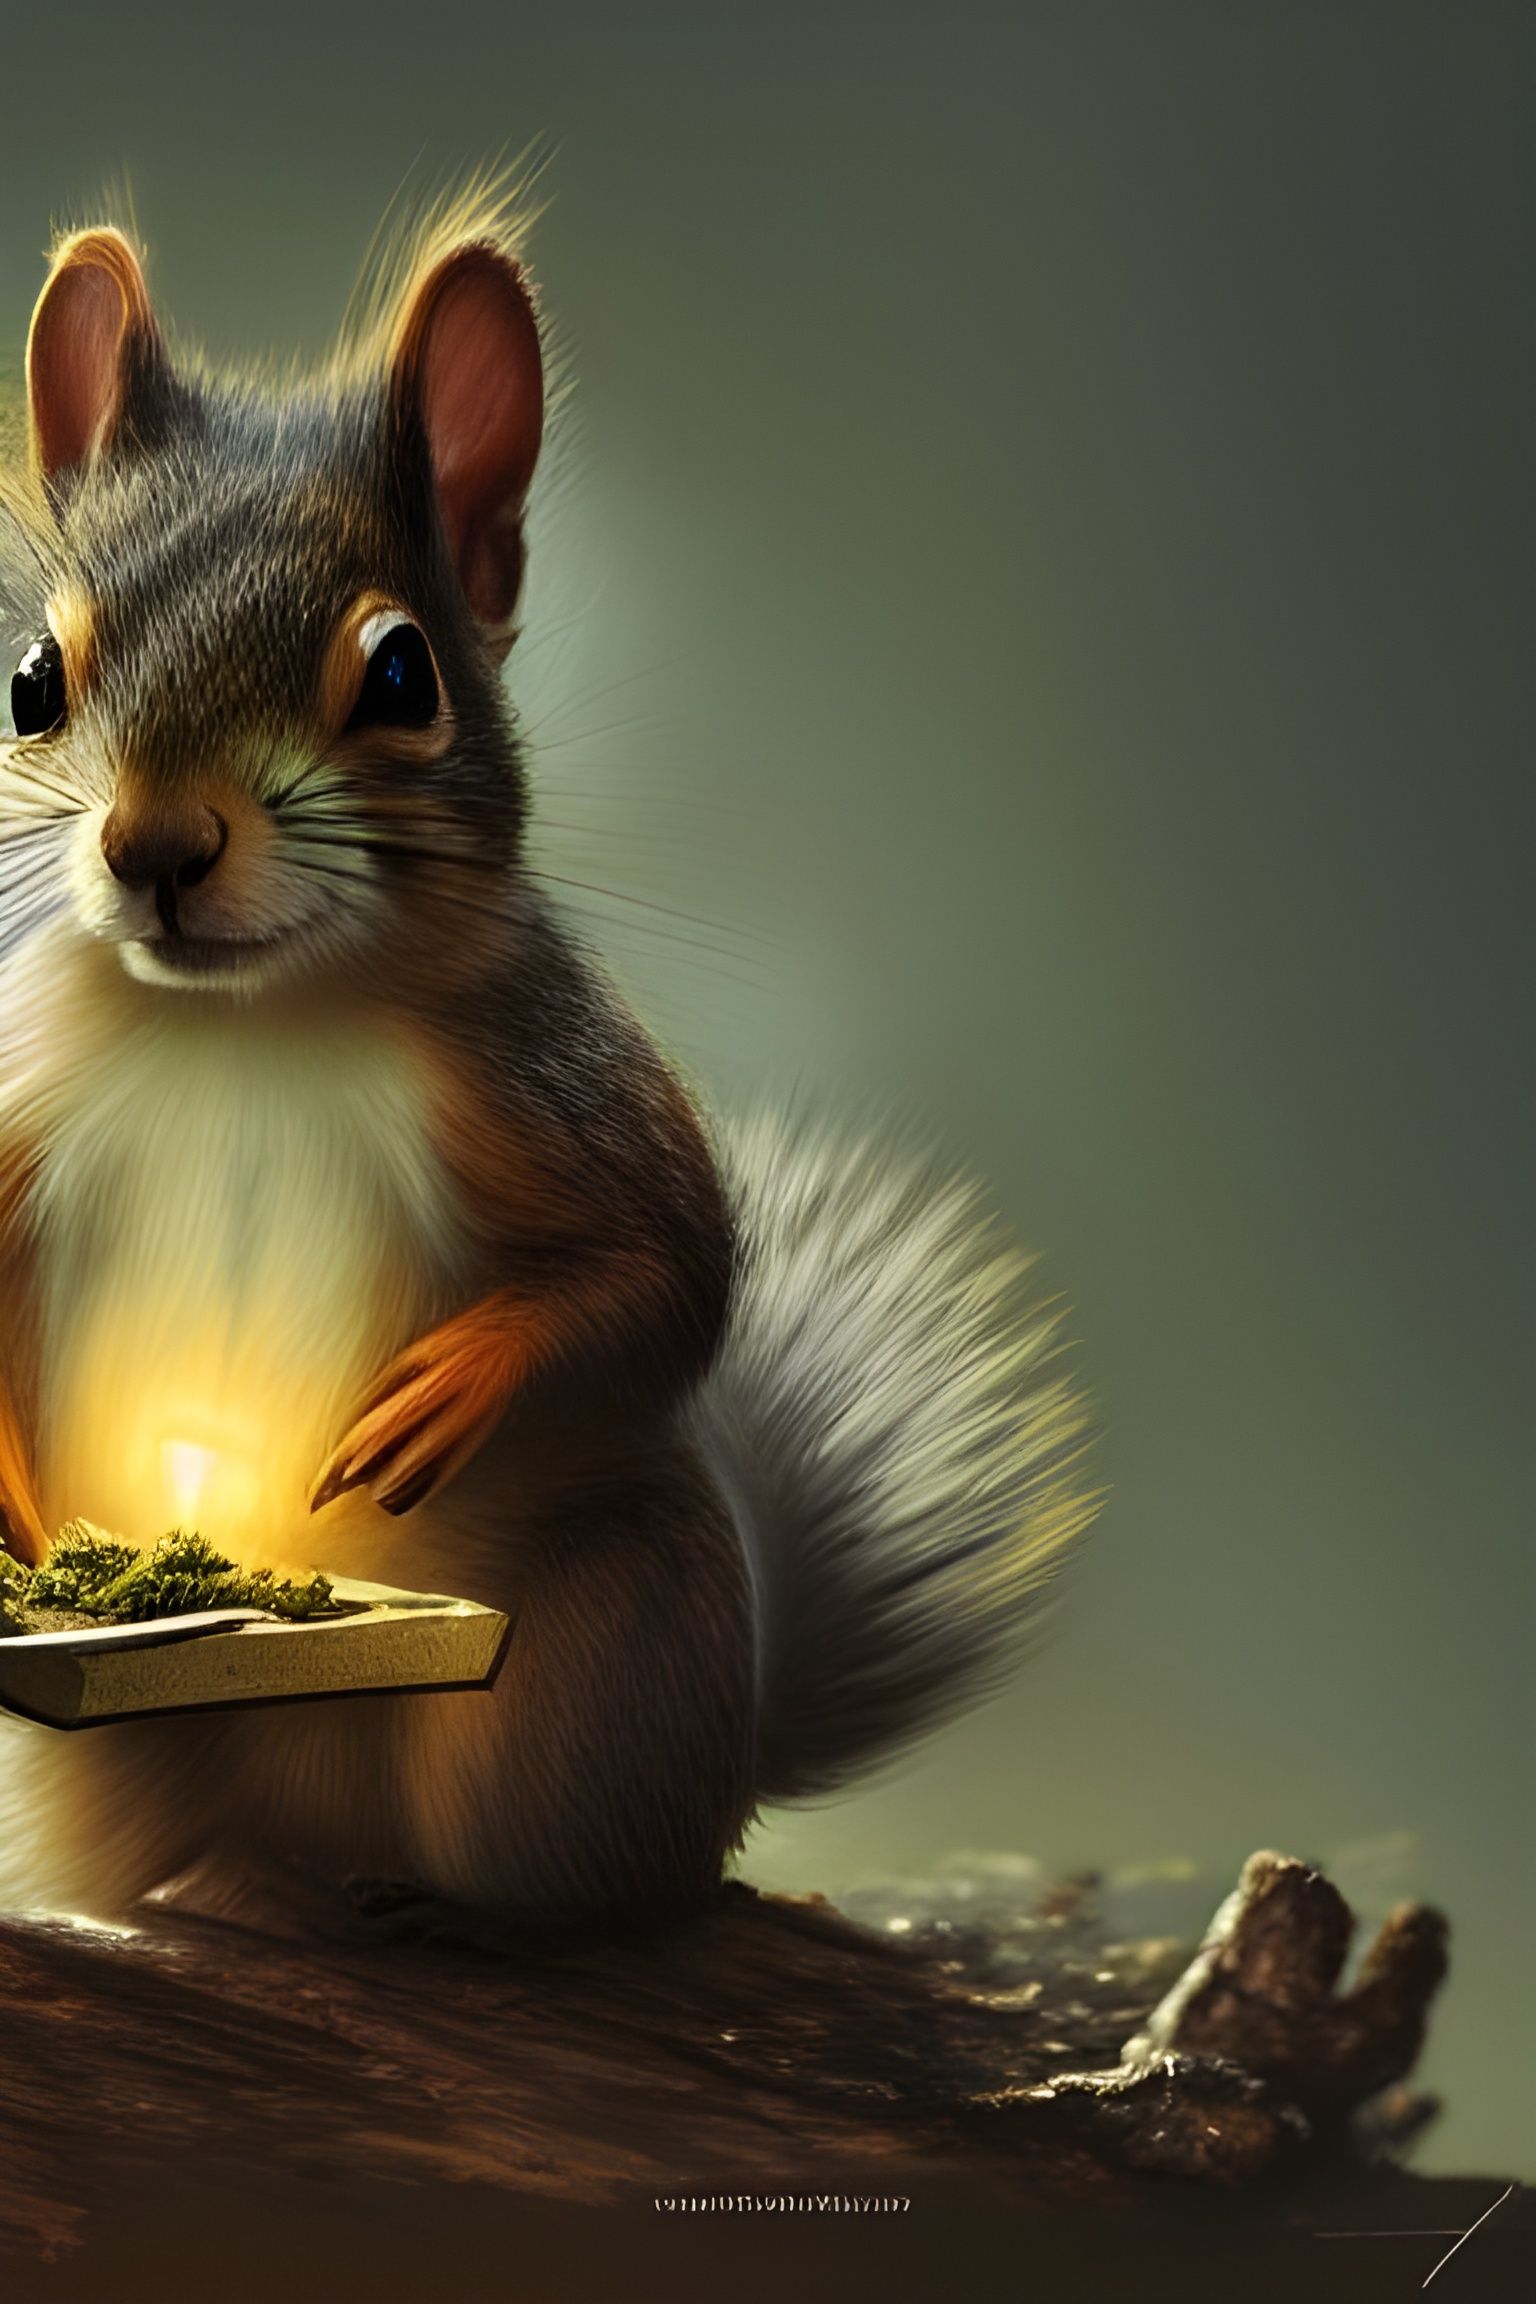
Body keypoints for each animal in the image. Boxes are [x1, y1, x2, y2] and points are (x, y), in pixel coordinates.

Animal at [0, 186, 1095, 1936]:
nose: (156, 847)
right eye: (34, 683)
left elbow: (674, 1269)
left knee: (590, 1877)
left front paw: (449, 1388)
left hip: (596, 1654)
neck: (241, 1022)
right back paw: (222, 1884)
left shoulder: (546, 1069)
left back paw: (447, 1906)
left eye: (403, 674)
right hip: (105, 1771)